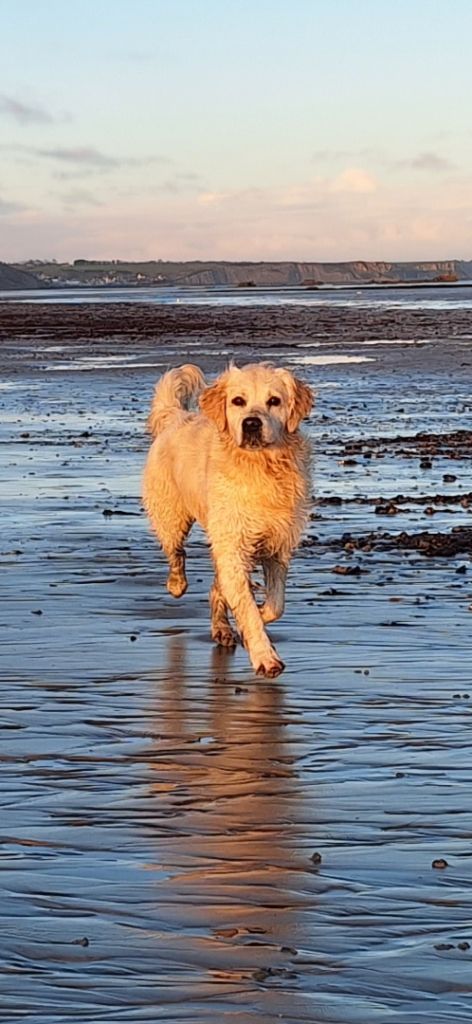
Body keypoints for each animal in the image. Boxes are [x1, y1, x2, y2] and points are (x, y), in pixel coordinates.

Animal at [142, 364, 313, 675]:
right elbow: (246, 605)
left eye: (274, 401)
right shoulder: (233, 542)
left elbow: (275, 603)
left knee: (216, 585)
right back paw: (177, 585)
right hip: (171, 515)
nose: (252, 424)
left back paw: (222, 628)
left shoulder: (278, 542)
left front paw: (259, 613)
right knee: (175, 552)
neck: (260, 467)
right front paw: (265, 656)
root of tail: (179, 416)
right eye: (238, 401)